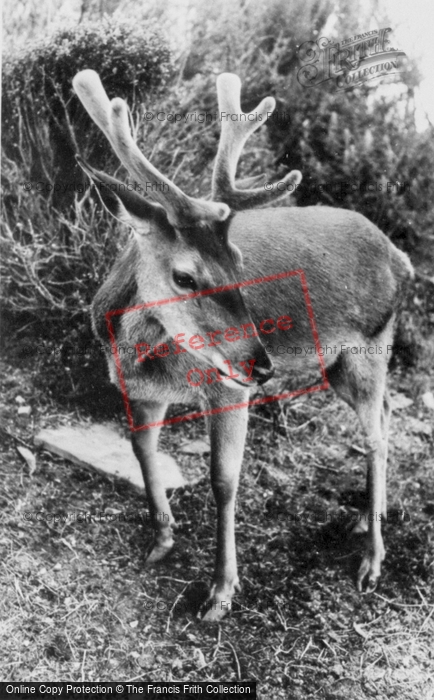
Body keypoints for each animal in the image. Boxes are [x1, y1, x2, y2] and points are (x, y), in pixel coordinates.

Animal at [73, 68, 412, 620]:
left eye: (238, 262)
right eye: (185, 275)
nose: (262, 367)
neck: (142, 358)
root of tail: (403, 261)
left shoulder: (227, 388)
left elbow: (223, 480)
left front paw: (220, 591)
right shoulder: (144, 391)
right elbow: (141, 448)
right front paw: (162, 540)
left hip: (370, 346)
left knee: (376, 435)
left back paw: (372, 560)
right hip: (340, 363)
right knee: (384, 414)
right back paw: (367, 514)